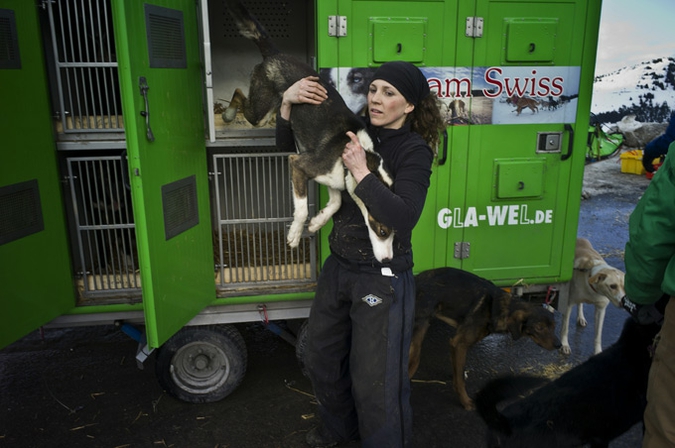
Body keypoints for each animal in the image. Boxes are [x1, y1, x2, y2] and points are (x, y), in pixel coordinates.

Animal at [224, 0, 396, 260]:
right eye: (383, 231)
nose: (388, 260)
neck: (358, 153)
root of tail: (275, 53)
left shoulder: (332, 179)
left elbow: (335, 203)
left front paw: (317, 223)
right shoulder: (298, 164)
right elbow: (303, 208)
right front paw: (296, 234)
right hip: (259, 111)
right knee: (238, 95)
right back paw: (228, 113)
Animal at [410, 268, 564, 412]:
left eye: (553, 326)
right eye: (539, 327)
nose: (559, 345)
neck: (499, 308)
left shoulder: (457, 342)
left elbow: (458, 371)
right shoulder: (459, 343)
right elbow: (460, 379)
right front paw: (465, 401)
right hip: (420, 327)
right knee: (414, 361)